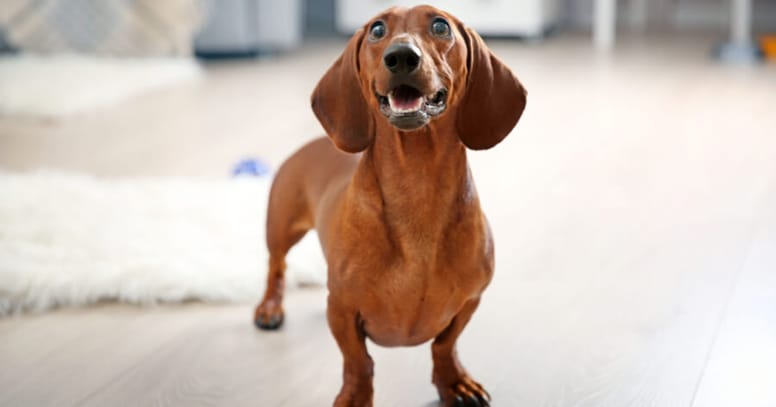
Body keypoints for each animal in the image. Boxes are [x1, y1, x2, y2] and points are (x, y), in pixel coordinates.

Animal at [255, 4, 528, 406]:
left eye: (441, 26)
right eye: (377, 30)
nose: (401, 56)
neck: (416, 187)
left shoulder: (469, 301)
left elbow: (444, 345)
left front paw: (454, 382)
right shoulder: (342, 310)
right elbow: (358, 361)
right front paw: (355, 396)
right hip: (280, 227)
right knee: (276, 267)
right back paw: (269, 308)